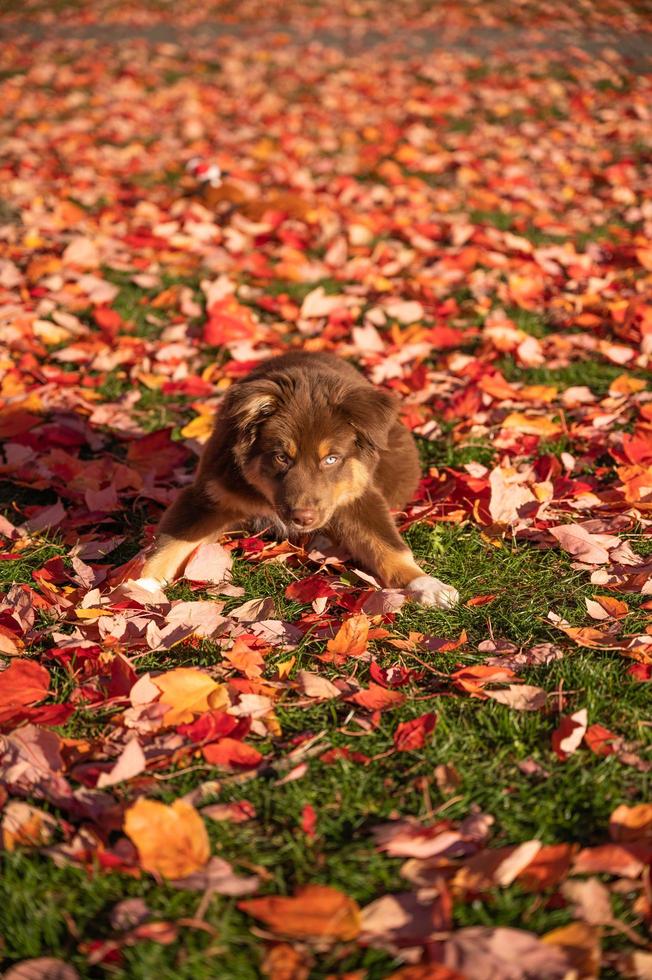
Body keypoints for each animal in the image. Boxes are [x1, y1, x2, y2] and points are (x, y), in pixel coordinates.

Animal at [141, 352, 460, 608]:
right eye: (282, 457)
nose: (303, 518)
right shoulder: (209, 495)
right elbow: (170, 544)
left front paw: (427, 584)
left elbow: (388, 546)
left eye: (331, 459)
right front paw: (139, 588)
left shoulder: (357, 496)